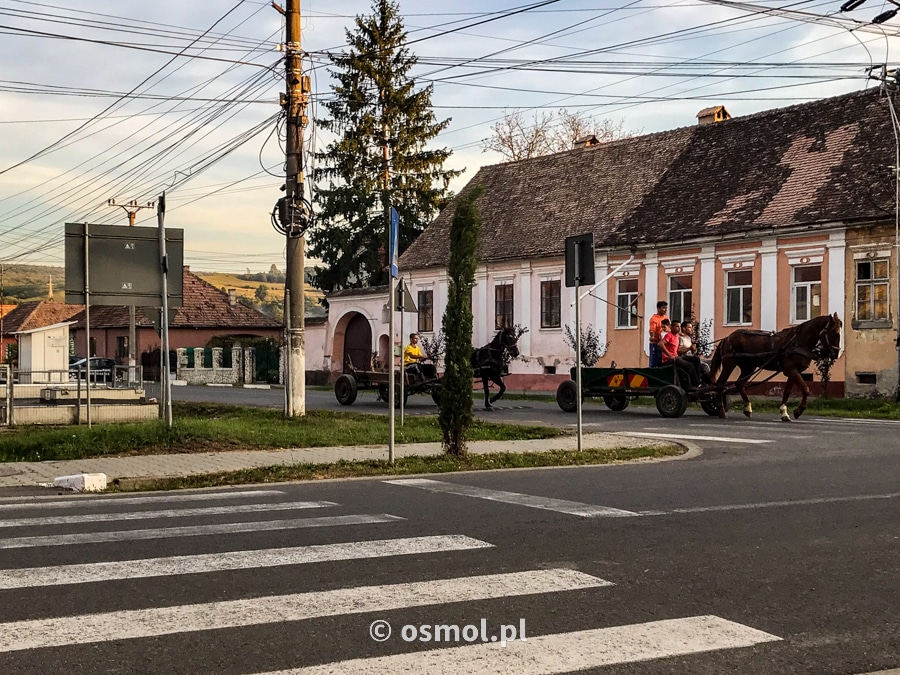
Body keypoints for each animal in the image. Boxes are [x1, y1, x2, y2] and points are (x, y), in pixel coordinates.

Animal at [712, 312, 844, 420]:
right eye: (835, 333)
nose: (835, 354)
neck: (797, 342)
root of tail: (727, 338)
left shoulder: (792, 371)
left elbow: (787, 391)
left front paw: (784, 413)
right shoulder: (791, 370)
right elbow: (805, 389)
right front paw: (798, 410)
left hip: (748, 367)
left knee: (739, 384)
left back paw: (747, 409)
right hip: (729, 364)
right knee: (720, 384)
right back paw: (721, 410)